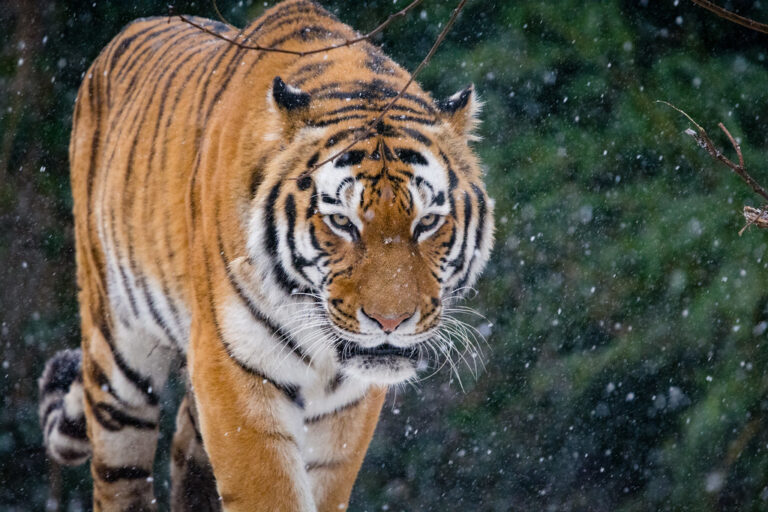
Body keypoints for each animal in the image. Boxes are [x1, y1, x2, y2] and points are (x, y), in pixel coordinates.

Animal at [37, 2, 492, 510]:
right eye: (342, 222)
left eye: (427, 222)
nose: (390, 322)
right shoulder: (232, 367)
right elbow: (268, 488)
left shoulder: (348, 403)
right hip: (118, 360)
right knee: (120, 475)